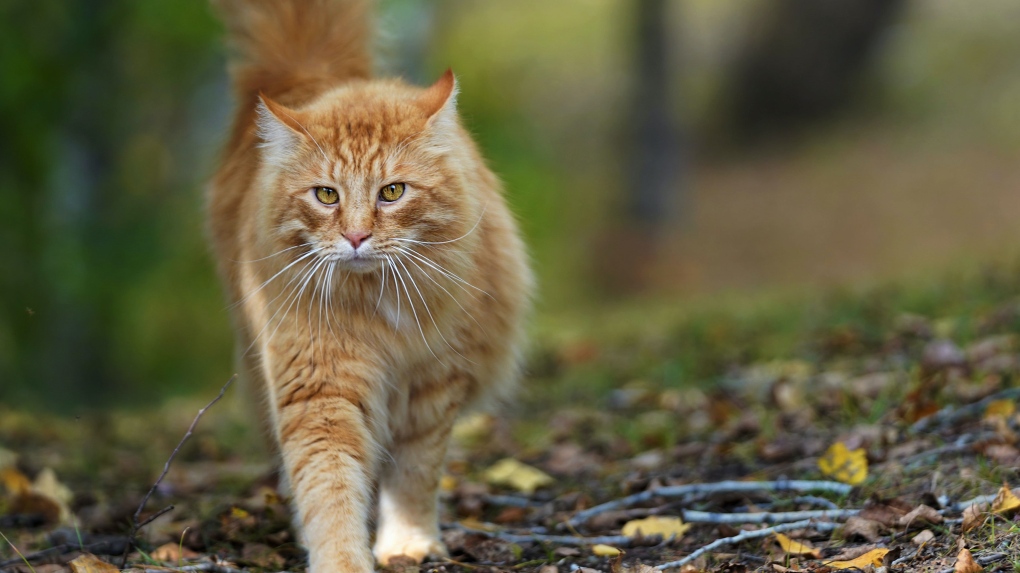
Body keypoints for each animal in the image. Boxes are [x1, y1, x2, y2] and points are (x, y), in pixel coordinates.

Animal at [202, 2, 530, 566]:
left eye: (392, 192)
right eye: (327, 195)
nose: (356, 236)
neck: (377, 309)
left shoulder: (433, 385)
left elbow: (414, 475)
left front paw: (408, 543)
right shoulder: (321, 388)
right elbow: (330, 490)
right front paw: (342, 560)